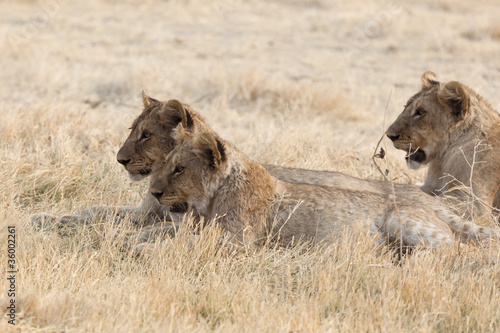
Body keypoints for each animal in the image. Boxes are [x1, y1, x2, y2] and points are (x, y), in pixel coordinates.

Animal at [147, 126, 500, 250]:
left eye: (178, 169)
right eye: (167, 164)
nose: (155, 193)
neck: (210, 200)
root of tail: (431, 206)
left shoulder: (237, 242)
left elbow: (180, 246)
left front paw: (144, 252)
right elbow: (165, 234)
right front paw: (140, 240)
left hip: (405, 222)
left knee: (459, 251)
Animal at [386, 72, 500, 222]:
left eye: (420, 112)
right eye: (405, 107)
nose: (389, 135)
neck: (443, 159)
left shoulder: (475, 205)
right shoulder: (430, 185)